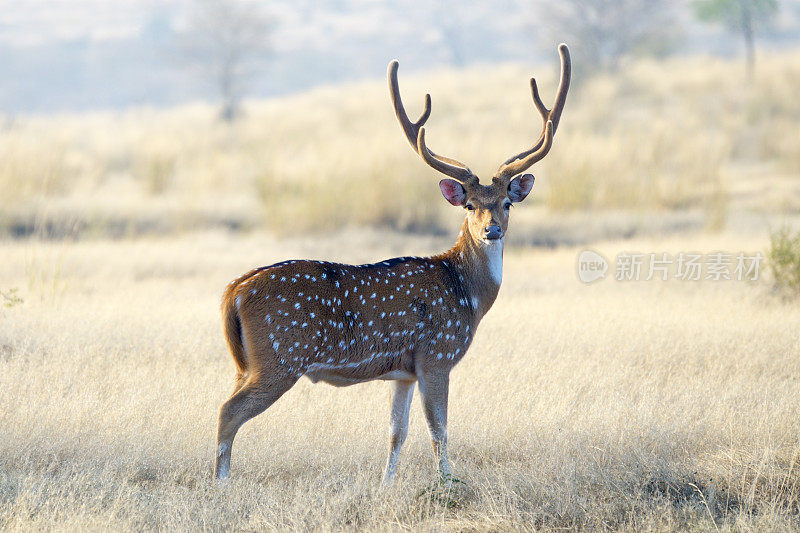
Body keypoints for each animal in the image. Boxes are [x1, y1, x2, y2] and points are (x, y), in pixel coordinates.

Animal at [216, 43, 572, 480]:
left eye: (507, 203)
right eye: (470, 204)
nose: (492, 230)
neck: (468, 295)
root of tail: (233, 291)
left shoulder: (402, 372)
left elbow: (396, 432)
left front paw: (386, 484)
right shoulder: (437, 355)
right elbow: (439, 430)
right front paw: (447, 484)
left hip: (246, 363)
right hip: (279, 357)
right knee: (228, 412)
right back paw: (220, 484)